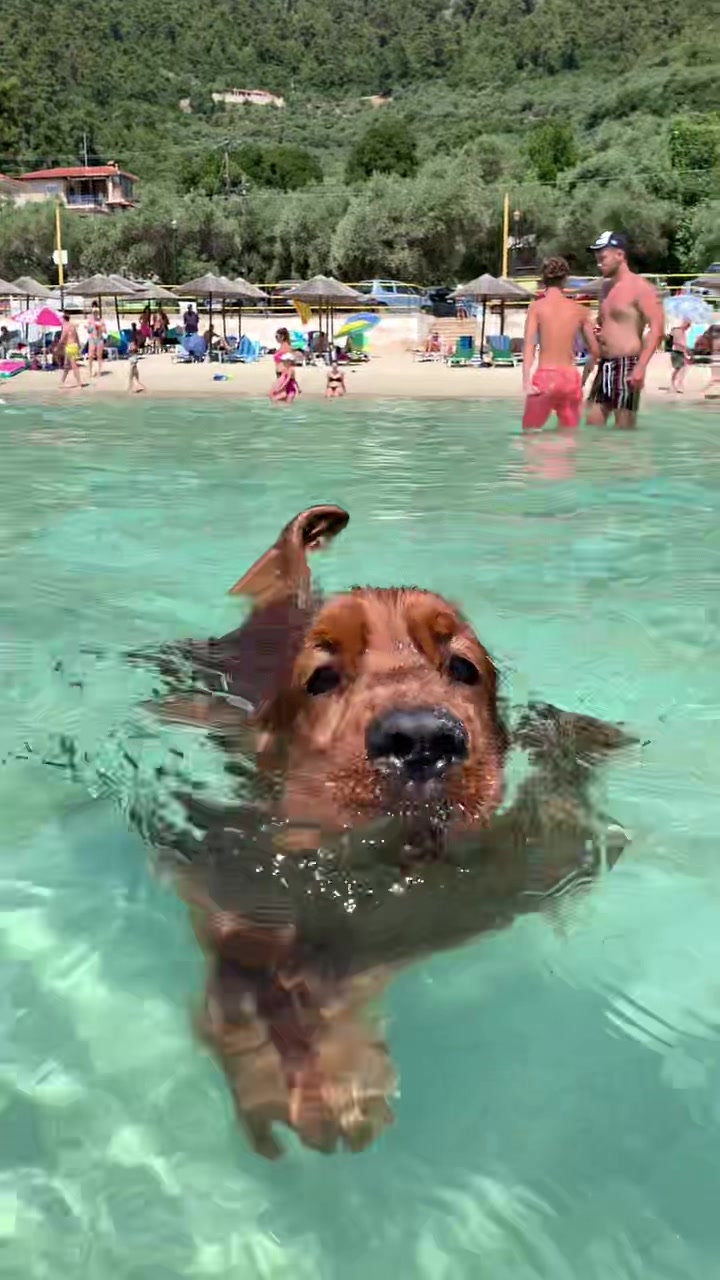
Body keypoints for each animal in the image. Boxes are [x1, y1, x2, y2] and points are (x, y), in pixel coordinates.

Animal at [136, 505, 634, 1158]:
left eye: (463, 668)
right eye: (320, 679)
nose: (421, 740)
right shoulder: (238, 882)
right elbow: (254, 969)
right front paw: (310, 1074)